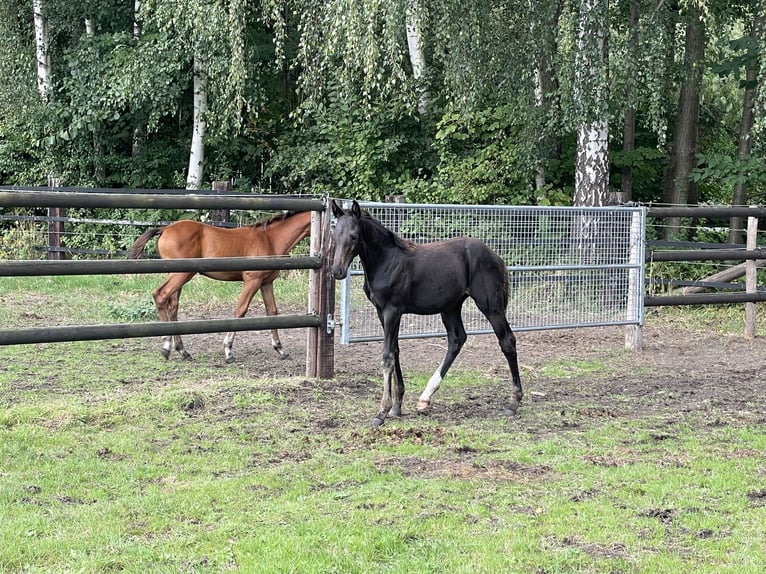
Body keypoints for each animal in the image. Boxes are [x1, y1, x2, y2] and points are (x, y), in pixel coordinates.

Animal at [130, 212, 312, 364]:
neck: (269, 239)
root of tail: (165, 229)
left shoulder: (266, 283)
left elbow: (272, 311)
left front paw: (280, 348)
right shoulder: (252, 280)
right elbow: (240, 311)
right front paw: (228, 351)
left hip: (176, 275)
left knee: (173, 306)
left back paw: (183, 351)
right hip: (181, 274)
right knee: (160, 295)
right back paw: (166, 347)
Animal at [332, 200, 524, 426]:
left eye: (354, 236)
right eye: (334, 235)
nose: (337, 271)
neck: (387, 261)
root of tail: (495, 256)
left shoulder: (392, 311)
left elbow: (387, 356)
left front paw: (381, 412)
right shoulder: (382, 312)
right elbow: (395, 351)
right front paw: (397, 406)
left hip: (490, 306)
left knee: (507, 341)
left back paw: (513, 402)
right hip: (450, 307)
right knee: (457, 339)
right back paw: (425, 397)